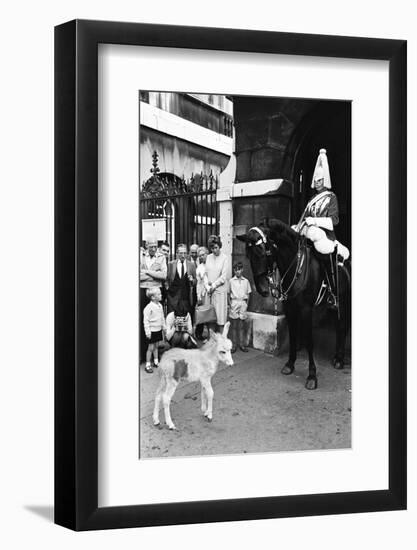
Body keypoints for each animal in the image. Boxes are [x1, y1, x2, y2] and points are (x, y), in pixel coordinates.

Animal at [236, 220, 350, 392]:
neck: (296, 267)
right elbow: (293, 335)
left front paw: (312, 376)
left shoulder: (306, 310)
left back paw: (339, 360)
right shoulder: (290, 309)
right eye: (248, 255)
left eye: (263, 251)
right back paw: (337, 357)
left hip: (343, 302)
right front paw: (290, 364)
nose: (262, 290)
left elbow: (309, 341)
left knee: (342, 326)